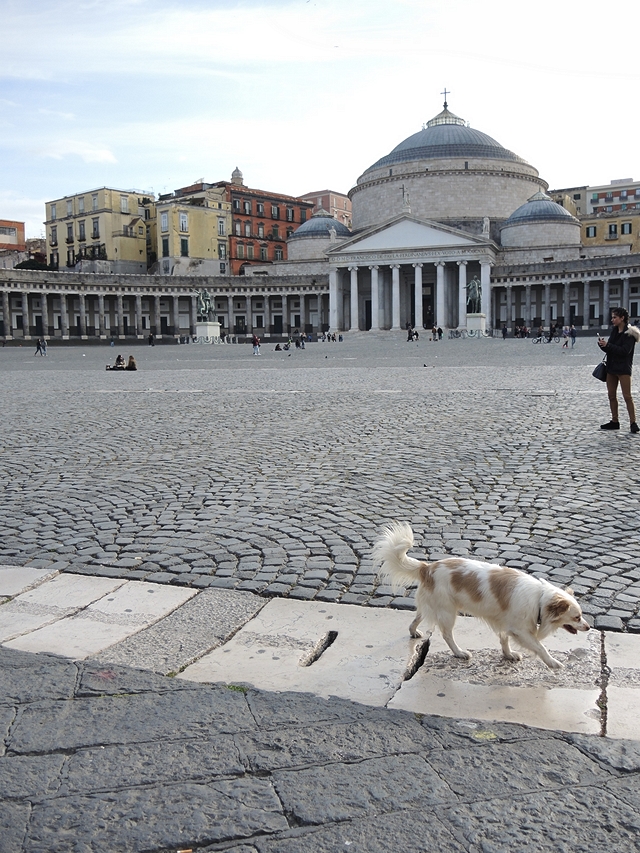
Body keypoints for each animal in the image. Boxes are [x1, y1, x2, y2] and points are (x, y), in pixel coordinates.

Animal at [376, 524, 592, 668]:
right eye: (577, 617)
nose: (589, 627)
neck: (539, 599)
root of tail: (427, 567)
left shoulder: (505, 623)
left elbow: (504, 640)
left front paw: (508, 655)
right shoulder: (521, 631)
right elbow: (540, 647)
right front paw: (553, 663)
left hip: (434, 604)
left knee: (418, 617)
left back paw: (413, 631)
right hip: (447, 611)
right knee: (447, 634)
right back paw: (459, 652)